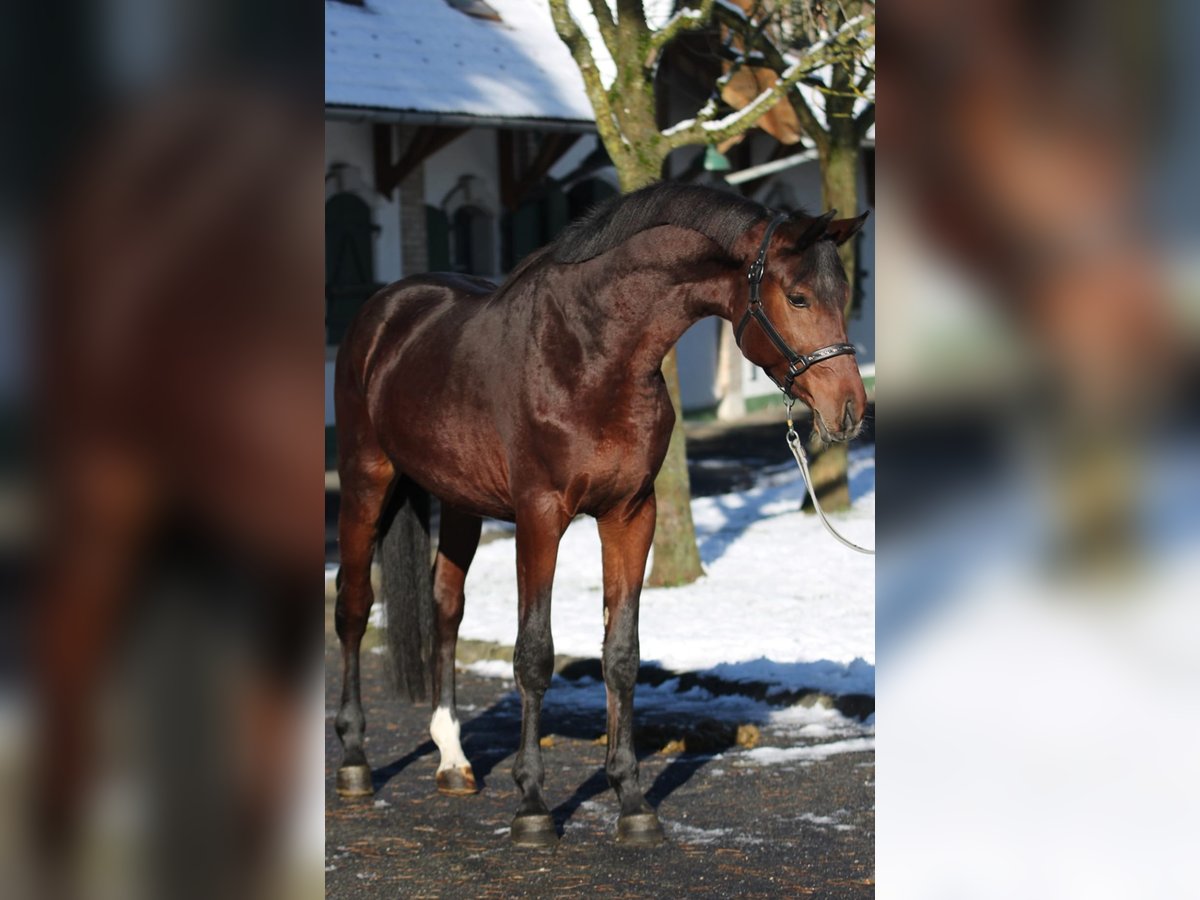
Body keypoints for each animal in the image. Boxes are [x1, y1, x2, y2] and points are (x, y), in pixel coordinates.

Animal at [333, 181, 868, 844]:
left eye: (844, 296)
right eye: (797, 296)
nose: (851, 409)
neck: (590, 353)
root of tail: (383, 311)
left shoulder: (631, 515)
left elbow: (622, 654)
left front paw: (632, 801)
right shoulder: (540, 517)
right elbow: (534, 654)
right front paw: (533, 805)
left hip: (458, 502)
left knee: (446, 608)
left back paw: (453, 760)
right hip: (365, 482)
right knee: (354, 607)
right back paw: (355, 760)